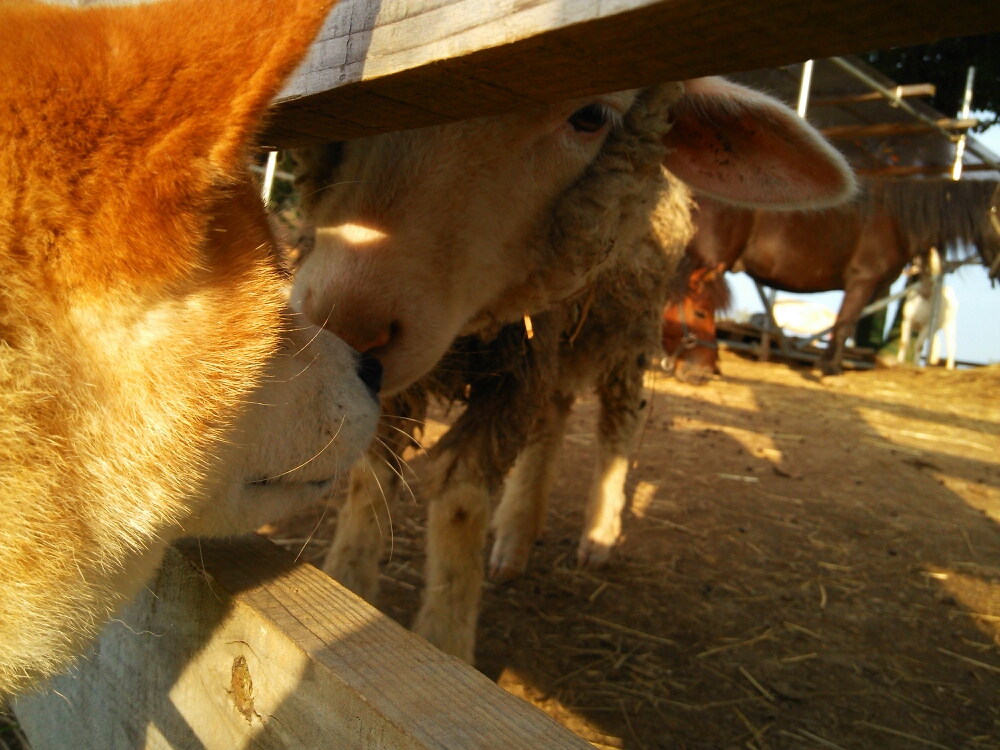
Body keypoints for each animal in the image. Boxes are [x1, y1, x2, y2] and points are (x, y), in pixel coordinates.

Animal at [293, 78, 855, 662]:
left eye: (591, 116)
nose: (345, 323)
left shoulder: (519, 366)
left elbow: (460, 506)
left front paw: (445, 641)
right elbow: (368, 481)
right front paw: (345, 586)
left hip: (625, 333)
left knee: (619, 426)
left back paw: (598, 534)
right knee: (553, 420)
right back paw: (516, 535)